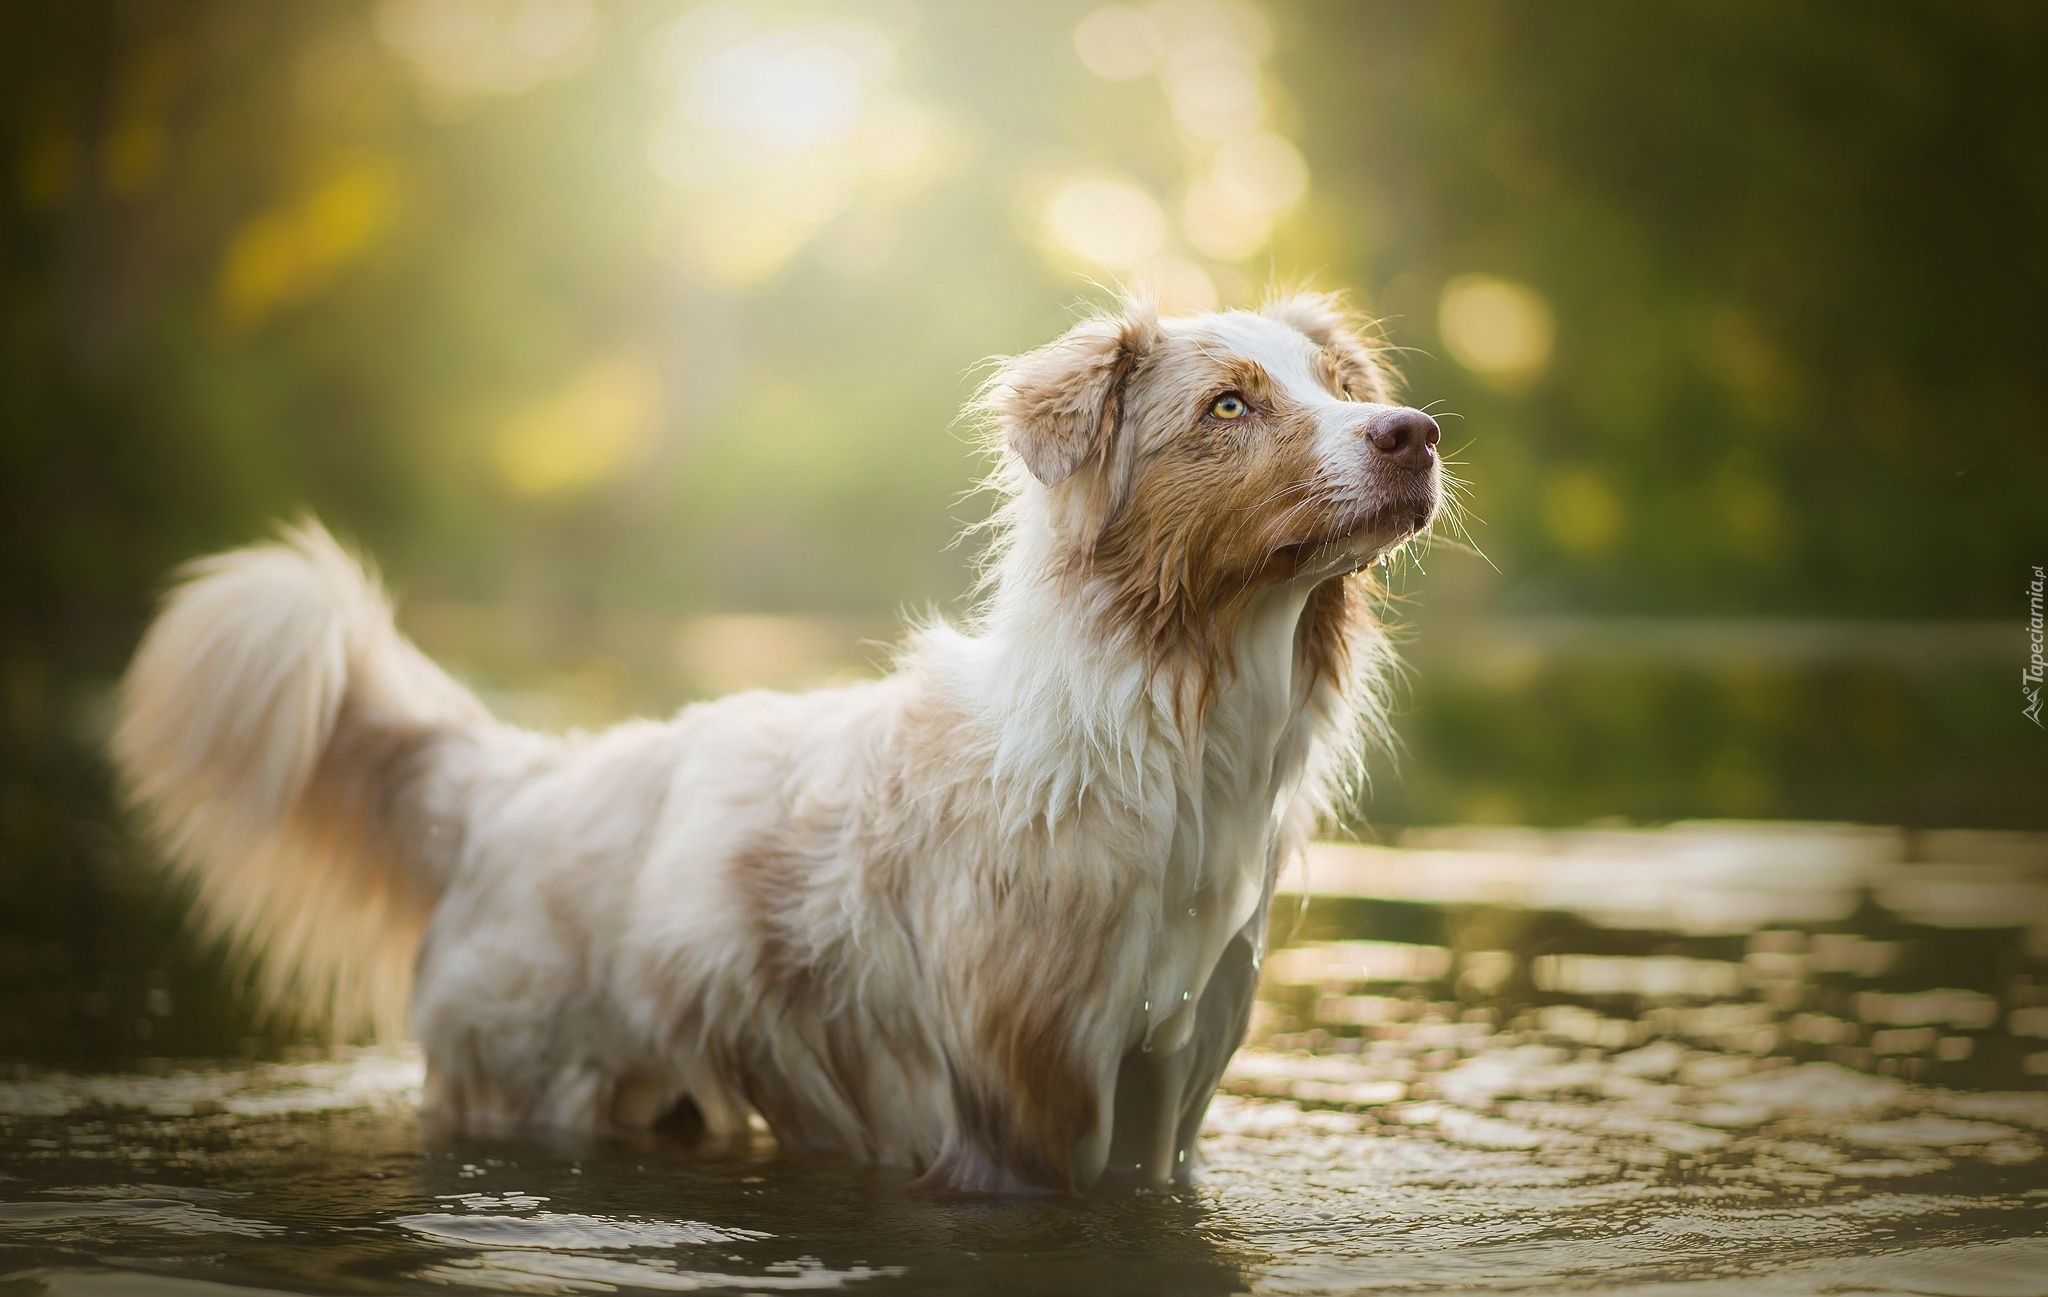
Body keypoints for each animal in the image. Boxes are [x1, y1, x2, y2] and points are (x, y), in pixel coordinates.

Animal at [112, 293, 1441, 1196]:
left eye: (1336, 382)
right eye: (1229, 404)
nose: (1414, 431)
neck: (1160, 731)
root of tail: (512, 778)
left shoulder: (1165, 1101)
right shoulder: (1021, 1120)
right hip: (527, 1088)